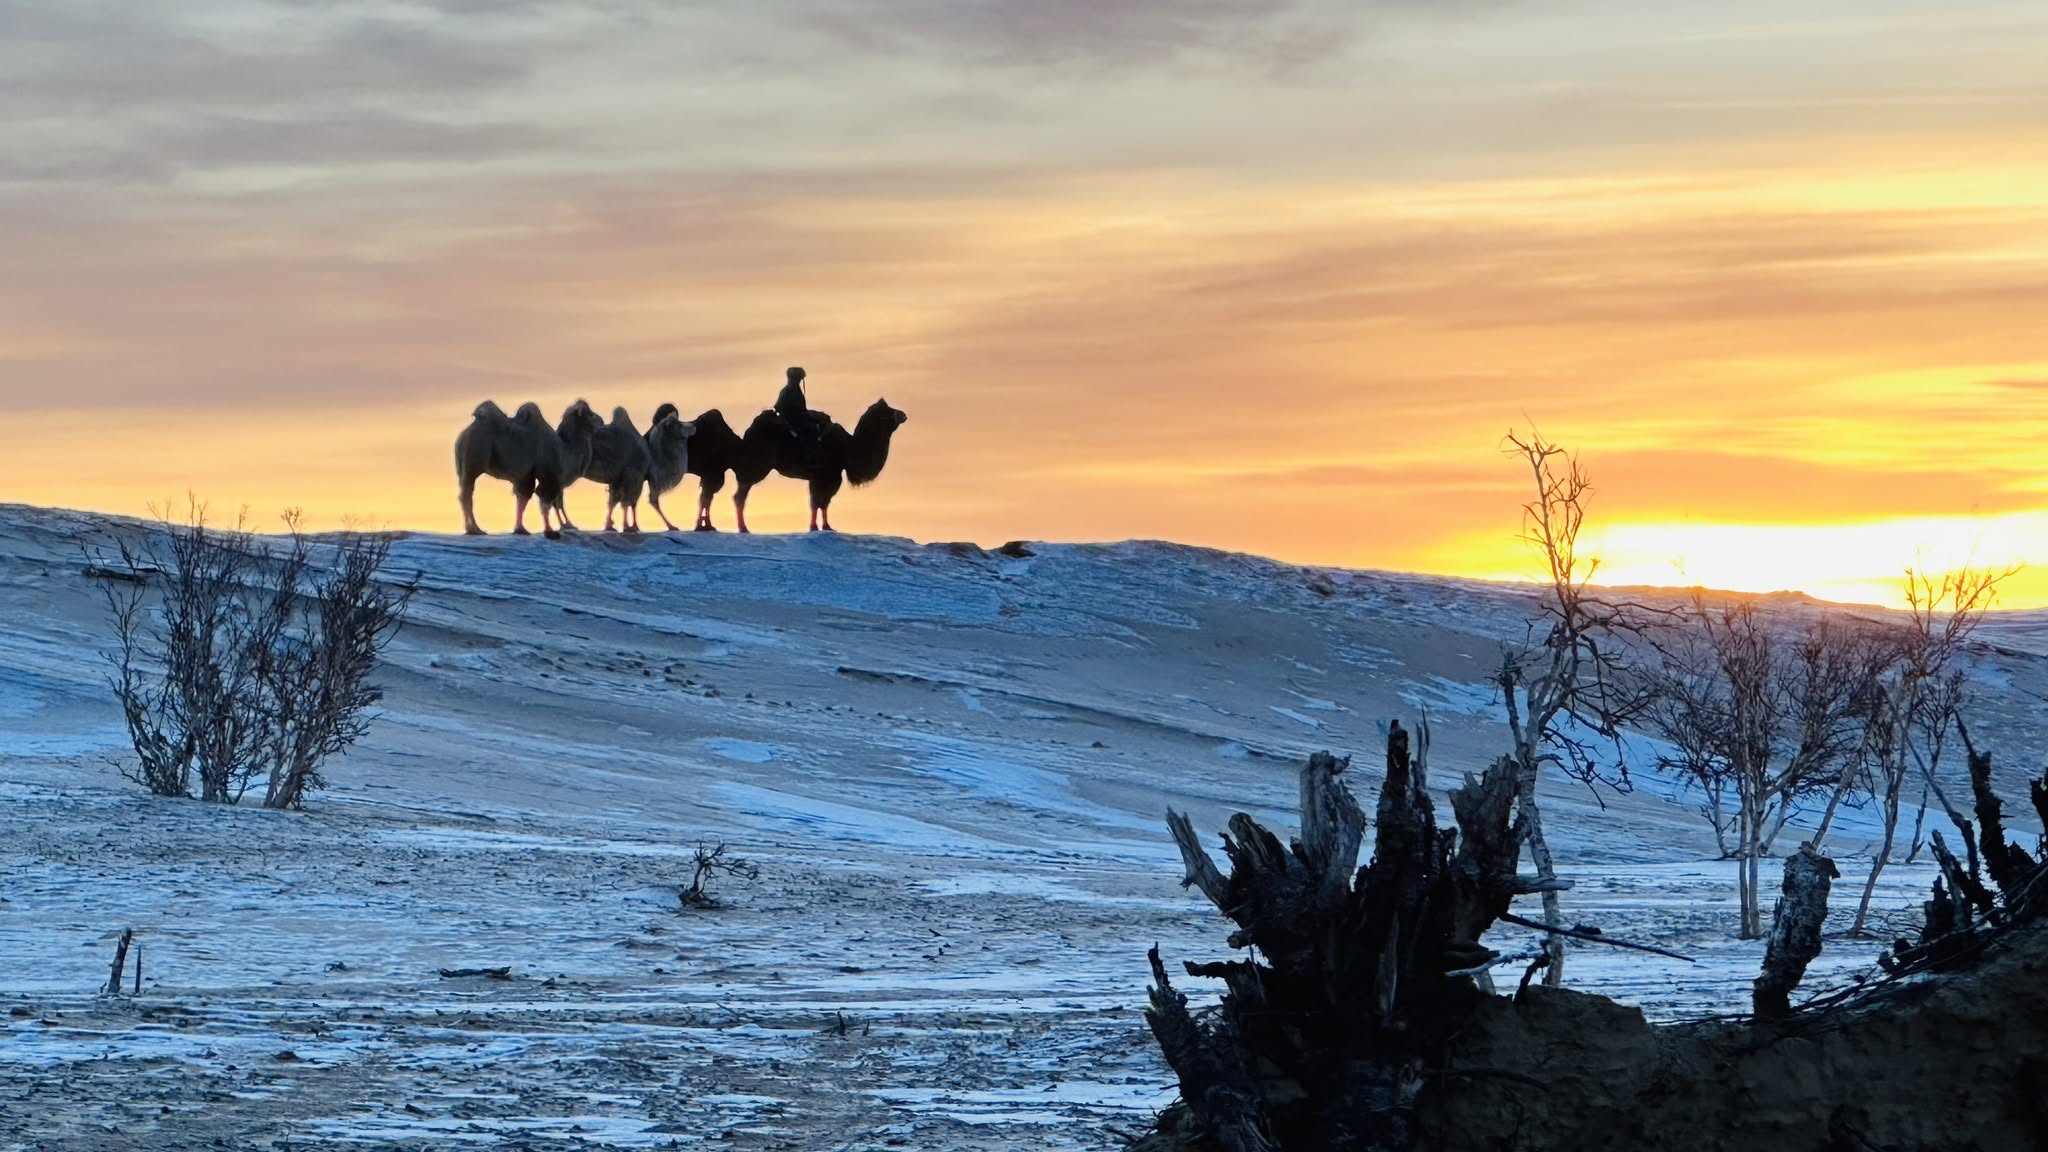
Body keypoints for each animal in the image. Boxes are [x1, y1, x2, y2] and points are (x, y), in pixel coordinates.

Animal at [454, 399, 602, 538]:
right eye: (590, 413)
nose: (601, 420)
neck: (565, 450)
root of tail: (467, 431)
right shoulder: (548, 476)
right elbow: (544, 501)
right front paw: (549, 531)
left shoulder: (525, 476)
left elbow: (523, 498)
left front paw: (520, 529)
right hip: (474, 460)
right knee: (466, 495)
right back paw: (474, 529)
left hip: (464, 466)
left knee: (466, 493)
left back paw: (474, 529)